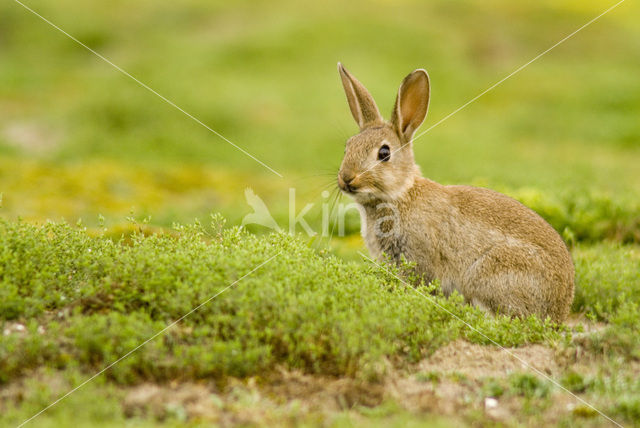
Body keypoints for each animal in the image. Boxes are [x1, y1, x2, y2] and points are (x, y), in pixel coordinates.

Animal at [336, 61, 576, 320]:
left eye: (384, 153)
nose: (346, 178)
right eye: (347, 147)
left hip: (488, 274)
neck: (401, 194)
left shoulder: (418, 258)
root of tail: (559, 309)